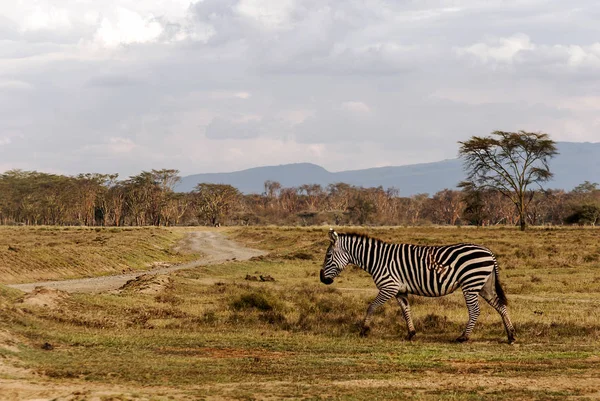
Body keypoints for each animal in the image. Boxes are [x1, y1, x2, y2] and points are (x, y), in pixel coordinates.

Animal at [318, 230, 516, 342]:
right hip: (484, 286)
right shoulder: (400, 291)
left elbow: (371, 307)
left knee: (475, 310)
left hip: (471, 283)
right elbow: (406, 311)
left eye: (328, 256)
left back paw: (463, 337)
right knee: (501, 306)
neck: (377, 260)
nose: (322, 279)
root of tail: (489, 252)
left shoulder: (388, 287)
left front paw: (364, 330)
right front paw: (411, 334)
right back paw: (511, 336)